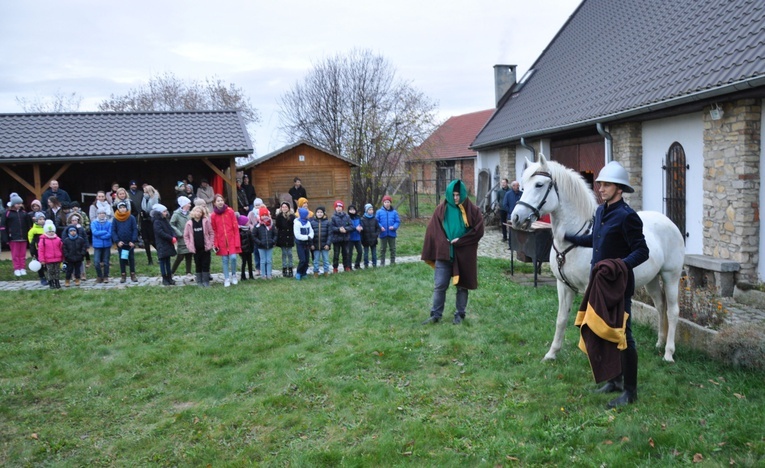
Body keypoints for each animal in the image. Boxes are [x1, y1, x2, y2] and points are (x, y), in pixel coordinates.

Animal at [510, 155, 684, 364]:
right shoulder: (563, 286)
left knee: (672, 311)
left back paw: (668, 353)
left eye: (539, 184)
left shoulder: (590, 288)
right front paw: (552, 353)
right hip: (652, 279)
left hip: (670, 276)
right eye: (523, 186)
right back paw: (659, 342)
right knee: (660, 305)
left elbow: (589, 321)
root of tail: (669, 222)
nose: (516, 217)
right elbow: (561, 319)